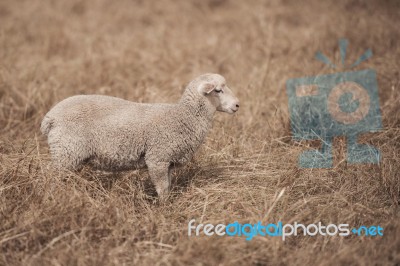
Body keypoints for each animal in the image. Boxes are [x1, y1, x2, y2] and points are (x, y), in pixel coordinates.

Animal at [40, 72, 239, 200]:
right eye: (218, 90)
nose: (237, 105)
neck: (184, 116)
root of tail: (50, 117)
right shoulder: (157, 157)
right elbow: (163, 189)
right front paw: (164, 209)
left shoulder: (167, 162)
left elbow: (167, 186)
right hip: (66, 150)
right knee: (51, 176)